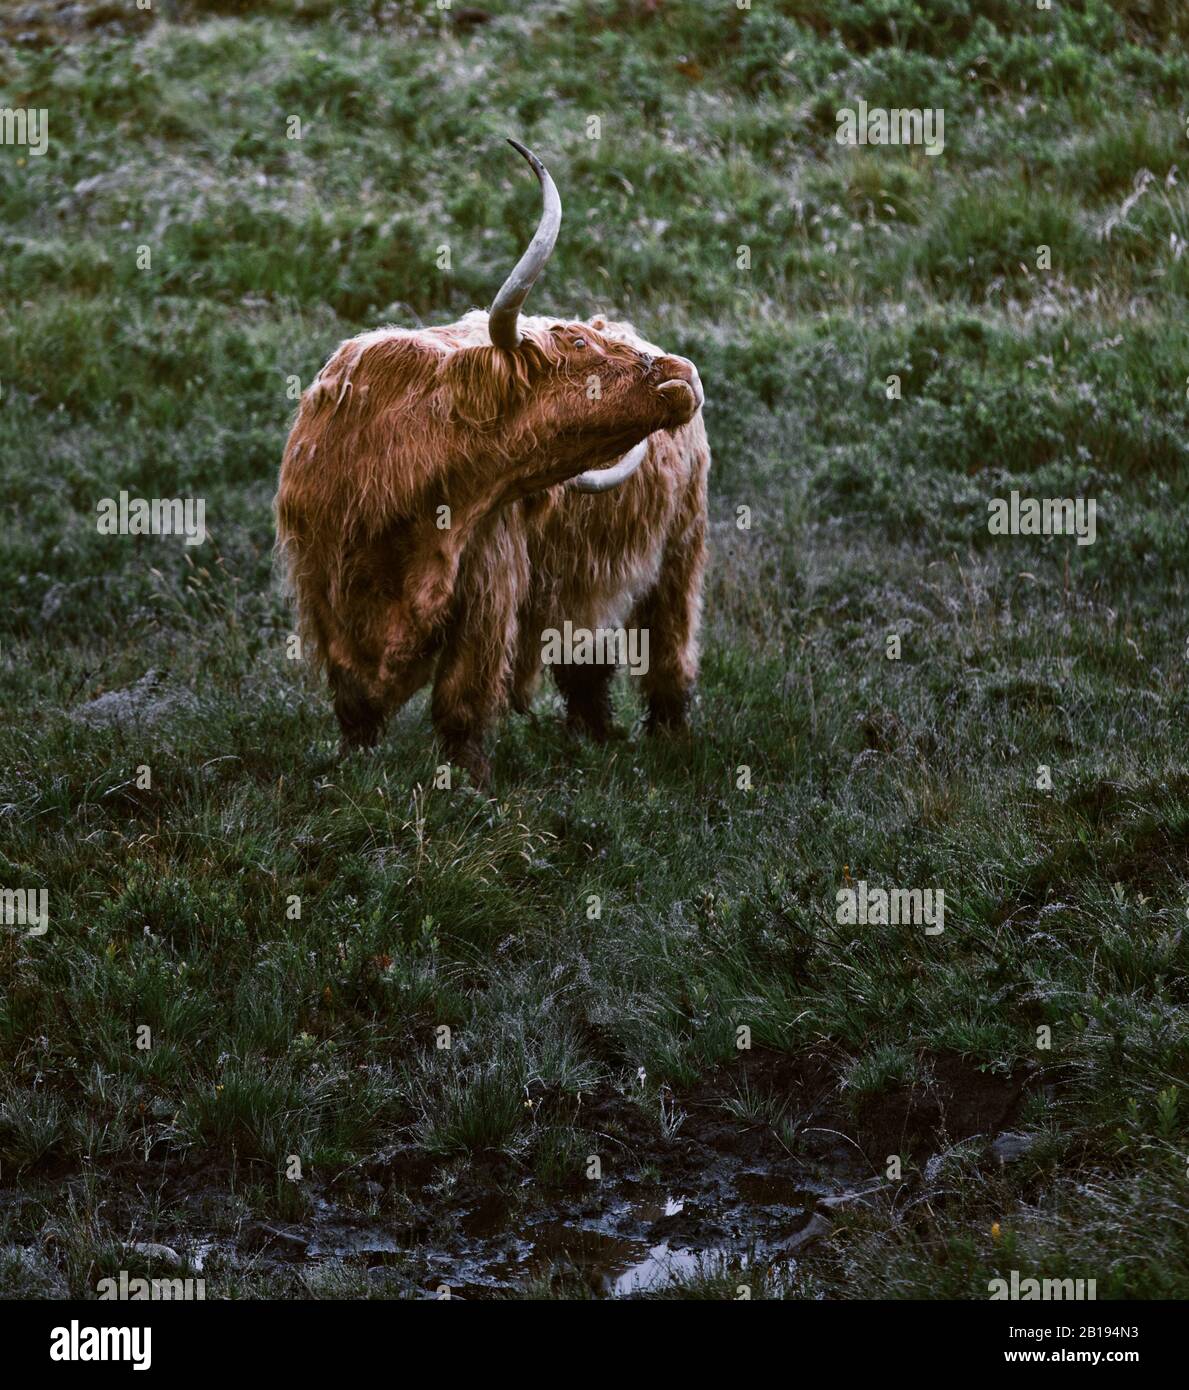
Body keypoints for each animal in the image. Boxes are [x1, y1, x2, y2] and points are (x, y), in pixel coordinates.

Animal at [273, 146, 712, 789]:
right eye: (577, 346)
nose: (683, 372)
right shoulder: (322, 584)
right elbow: (353, 698)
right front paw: (355, 766)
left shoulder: (486, 585)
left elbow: (462, 696)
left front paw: (469, 782)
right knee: (587, 660)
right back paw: (593, 736)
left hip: (680, 549)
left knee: (668, 646)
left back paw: (670, 738)